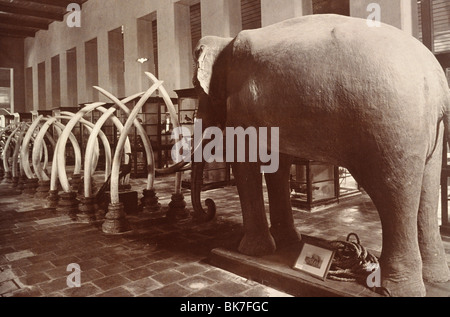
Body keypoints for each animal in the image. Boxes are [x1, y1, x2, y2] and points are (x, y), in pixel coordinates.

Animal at [191, 14, 450, 296]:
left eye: (195, 88)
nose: (208, 206)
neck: (226, 42)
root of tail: (435, 77)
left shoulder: (241, 108)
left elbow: (246, 163)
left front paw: (251, 251)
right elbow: (278, 165)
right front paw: (287, 242)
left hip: (392, 127)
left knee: (394, 194)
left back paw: (393, 288)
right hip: (426, 130)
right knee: (427, 190)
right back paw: (435, 277)